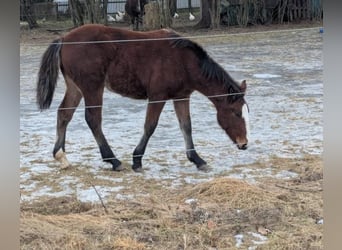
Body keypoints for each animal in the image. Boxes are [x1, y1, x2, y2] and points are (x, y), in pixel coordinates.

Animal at [37, 23, 250, 172]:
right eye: (236, 113)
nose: (244, 143)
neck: (183, 61)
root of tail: (64, 39)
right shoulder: (158, 96)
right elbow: (150, 126)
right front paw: (137, 160)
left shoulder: (181, 97)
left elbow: (186, 126)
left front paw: (197, 160)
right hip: (92, 87)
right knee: (93, 119)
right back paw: (113, 161)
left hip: (76, 88)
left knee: (64, 114)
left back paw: (61, 156)